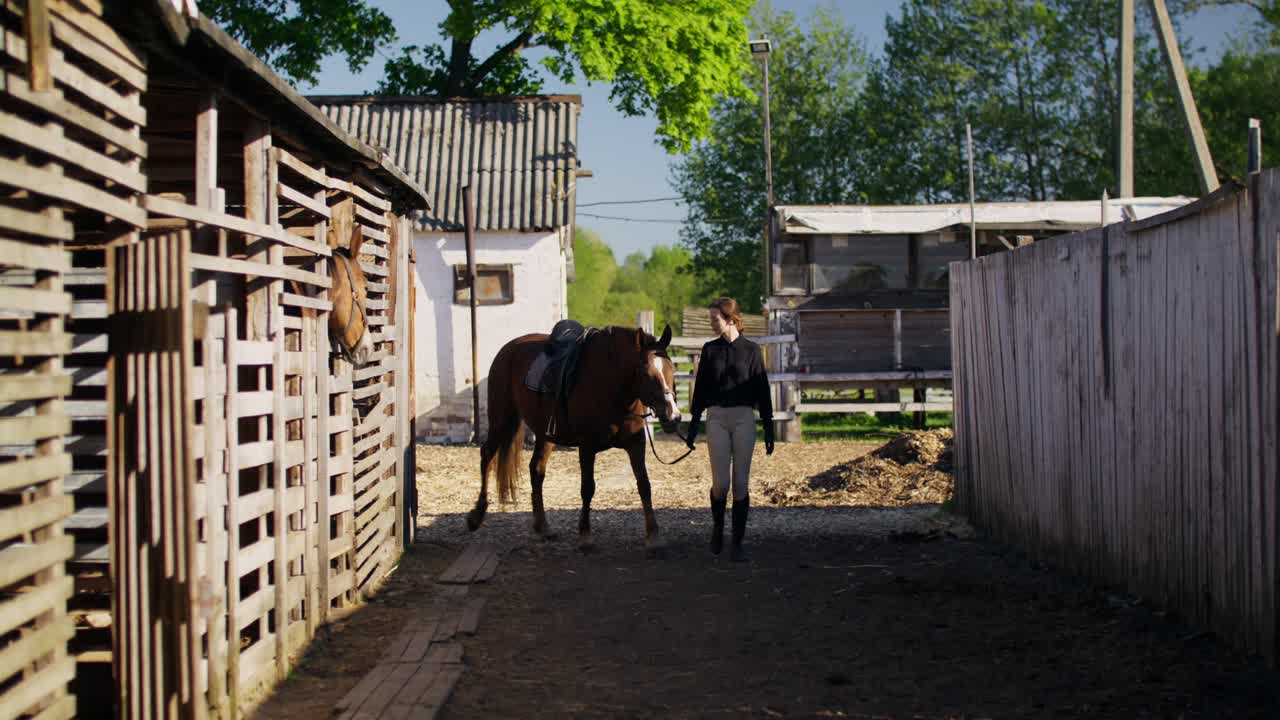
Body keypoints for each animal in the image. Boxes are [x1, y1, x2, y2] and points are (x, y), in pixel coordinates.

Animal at [466, 324, 682, 552]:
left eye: (670, 370)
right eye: (646, 373)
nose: (673, 416)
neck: (611, 386)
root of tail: (508, 350)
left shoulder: (636, 444)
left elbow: (644, 485)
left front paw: (653, 537)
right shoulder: (587, 447)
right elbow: (588, 488)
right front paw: (585, 535)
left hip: (545, 433)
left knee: (536, 470)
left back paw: (542, 527)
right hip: (502, 419)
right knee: (487, 455)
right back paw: (476, 515)